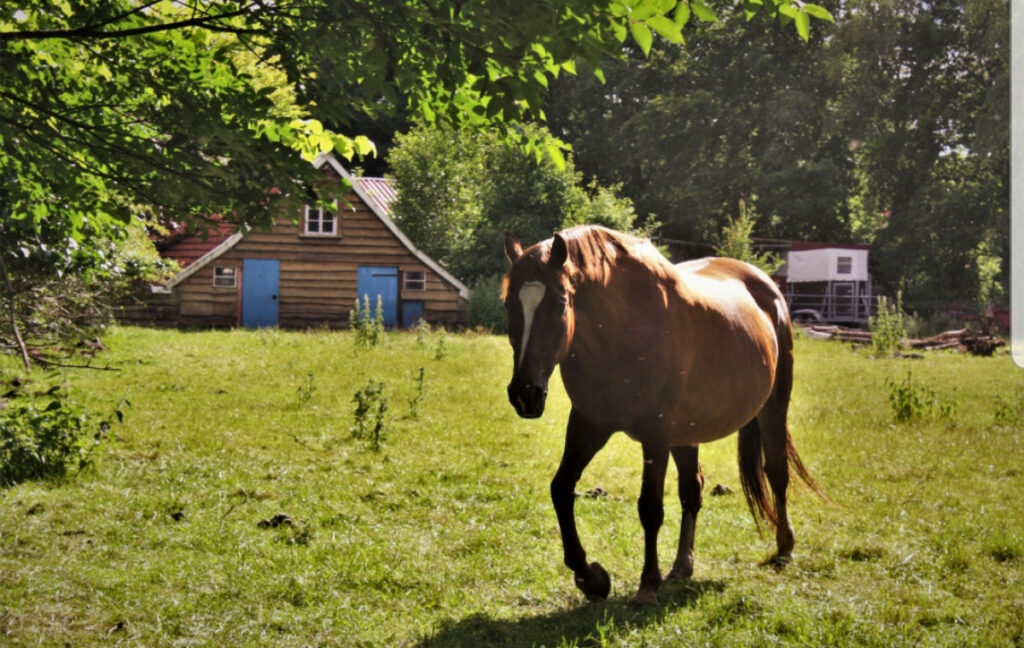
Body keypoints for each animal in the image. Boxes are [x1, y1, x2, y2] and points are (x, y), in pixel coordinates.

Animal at [499, 225, 819, 606]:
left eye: (561, 304)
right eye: (509, 305)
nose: (525, 394)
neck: (621, 332)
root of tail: (768, 289)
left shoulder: (656, 435)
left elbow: (649, 508)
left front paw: (646, 585)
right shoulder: (588, 424)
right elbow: (561, 489)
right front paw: (591, 577)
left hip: (772, 408)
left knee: (777, 473)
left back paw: (784, 547)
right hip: (687, 433)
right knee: (692, 490)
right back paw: (682, 565)